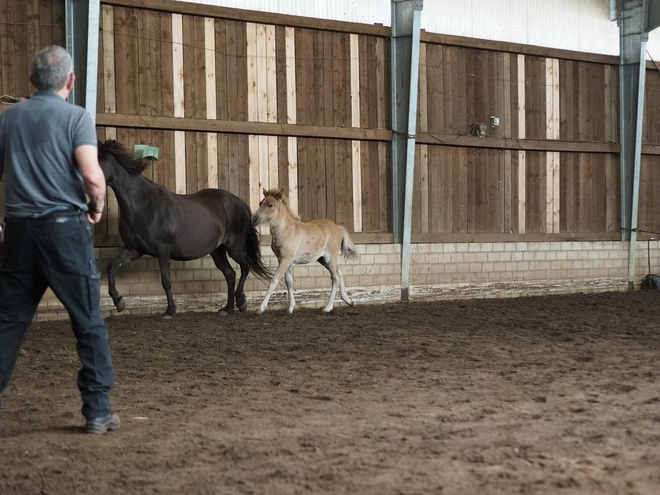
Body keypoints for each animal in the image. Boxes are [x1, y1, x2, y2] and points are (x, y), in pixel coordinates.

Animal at [96, 140, 270, 318]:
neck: (143, 204)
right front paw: (118, 301)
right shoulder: (133, 250)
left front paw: (170, 311)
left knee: (245, 265)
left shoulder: (162, 250)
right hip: (217, 251)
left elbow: (166, 280)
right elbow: (111, 266)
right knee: (230, 274)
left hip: (234, 247)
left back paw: (241, 302)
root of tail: (239, 202)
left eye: (98, 160)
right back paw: (227, 309)